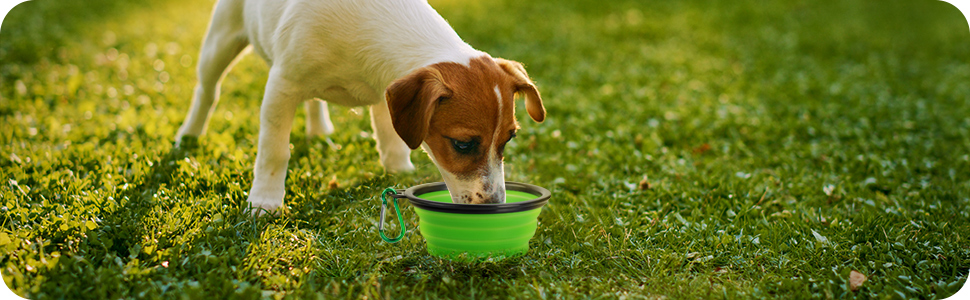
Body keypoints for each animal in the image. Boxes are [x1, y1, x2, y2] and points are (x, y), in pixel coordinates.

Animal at [173, 0, 544, 213]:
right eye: (463, 144)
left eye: (509, 139)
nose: (496, 205)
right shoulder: (281, 85)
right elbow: (274, 152)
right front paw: (264, 202)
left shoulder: (385, 92)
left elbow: (392, 141)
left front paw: (399, 171)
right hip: (221, 41)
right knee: (207, 90)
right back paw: (188, 136)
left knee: (313, 101)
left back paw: (319, 130)